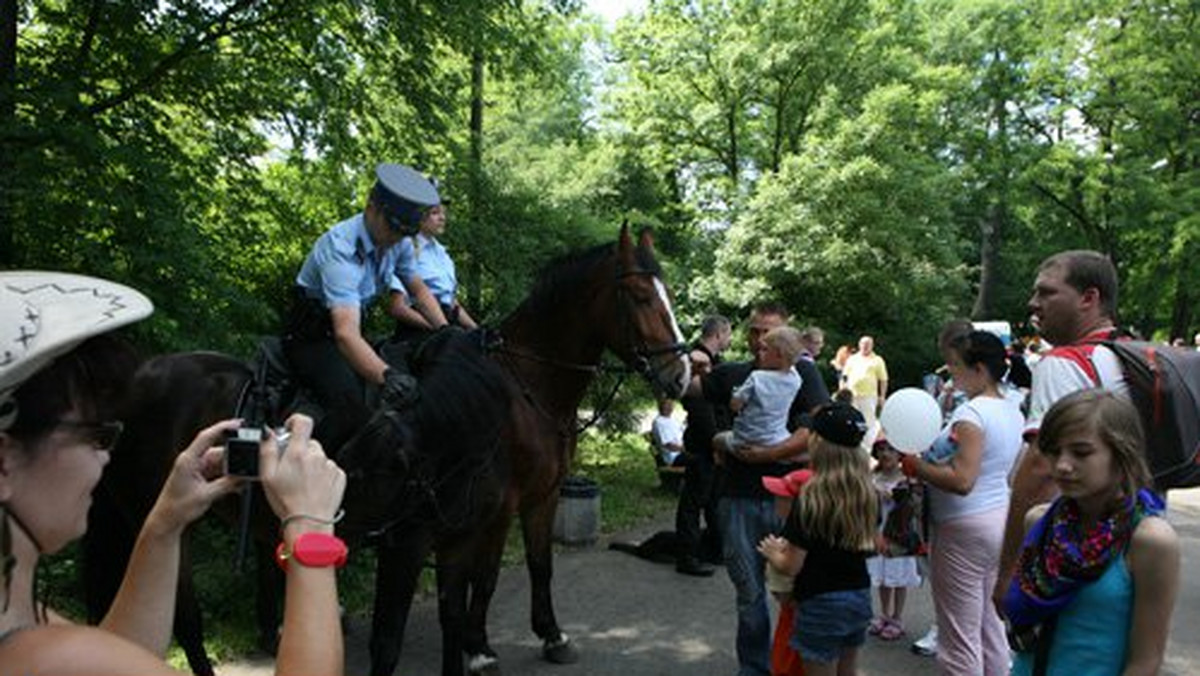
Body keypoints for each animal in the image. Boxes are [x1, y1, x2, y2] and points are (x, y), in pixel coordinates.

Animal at [82, 225, 686, 676]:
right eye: (639, 296)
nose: (679, 374)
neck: (522, 388)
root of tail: (137, 378)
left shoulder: (540, 497)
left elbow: (539, 565)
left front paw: (551, 635)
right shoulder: (492, 513)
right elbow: (486, 580)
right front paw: (479, 647)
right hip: (163, 514)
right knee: (185, 614)